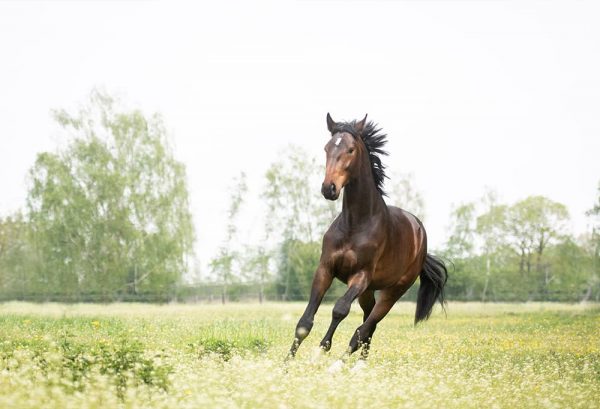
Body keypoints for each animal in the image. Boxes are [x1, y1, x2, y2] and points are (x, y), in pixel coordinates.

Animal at [288, 113, 448, 358]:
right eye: (327, 148)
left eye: (351, 149)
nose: (329, 188)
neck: (356, 224)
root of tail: (420, 236)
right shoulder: (325, 269)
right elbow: (305, 321)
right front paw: (286, 363)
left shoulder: (360, 276)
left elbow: (340, 310)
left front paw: (319, 353)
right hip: (369, 292)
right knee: (367, 329)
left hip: (393, 291)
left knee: (366, 328)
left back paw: (340, 364)